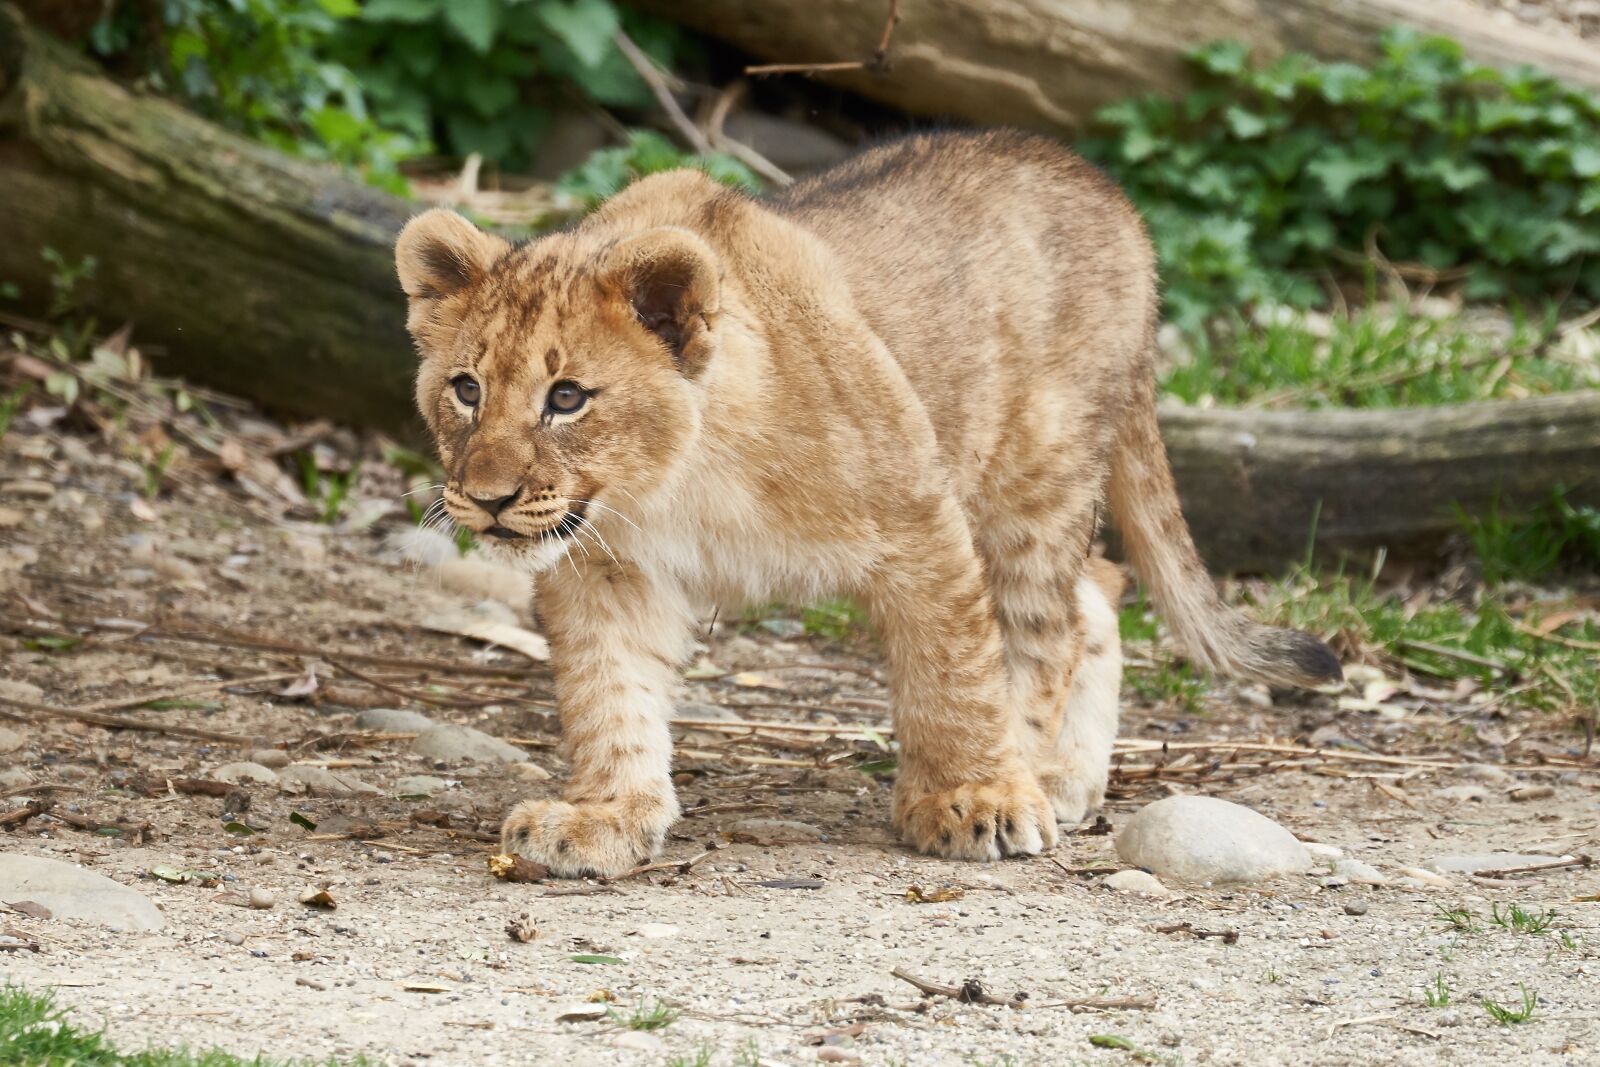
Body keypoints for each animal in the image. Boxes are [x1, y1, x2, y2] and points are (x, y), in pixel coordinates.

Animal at [393, 129, 1341, 878]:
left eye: (567, 398)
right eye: (467, 389)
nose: (487, 500)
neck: (674, 481)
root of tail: (1103, 186)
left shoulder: (920, 514)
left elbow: (954, 672)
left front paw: (975, 797)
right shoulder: (606, 568)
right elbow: (608, 693)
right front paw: (603, 817)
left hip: (1034, 476)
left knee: (1048, 628)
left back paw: (1033, 778)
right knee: (1100, 590)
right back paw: (1068, 779)